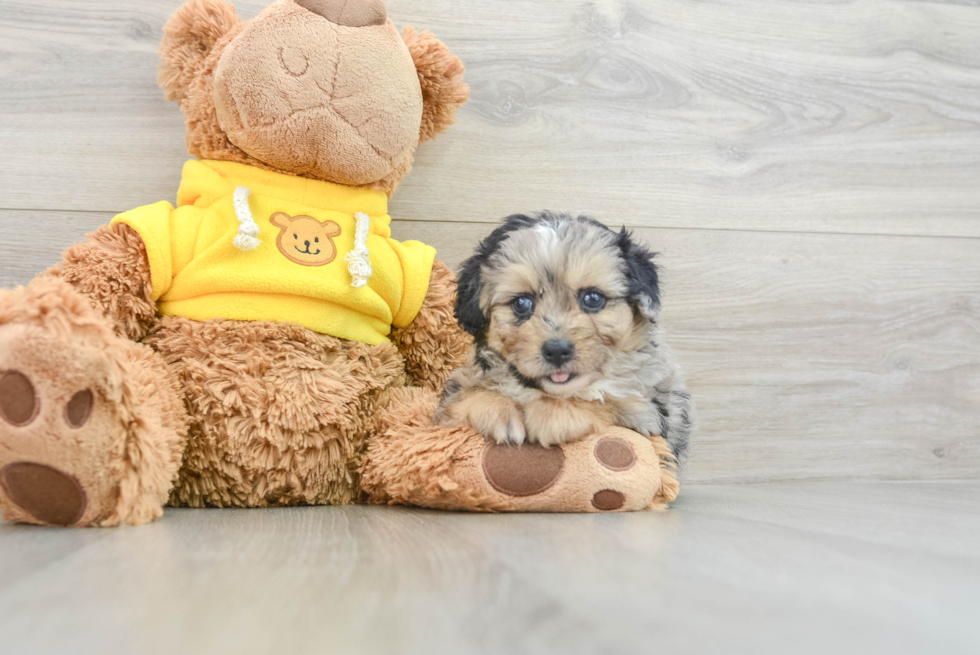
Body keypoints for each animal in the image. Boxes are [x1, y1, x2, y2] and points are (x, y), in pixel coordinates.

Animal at [432, 213, 692, 464]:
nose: (557, 351)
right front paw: (497, 411)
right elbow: (468, 397)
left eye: (593, 298)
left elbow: (604, 399)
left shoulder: (647, 416)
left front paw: (550, 415)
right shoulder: (450, 402)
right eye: (521, 303)